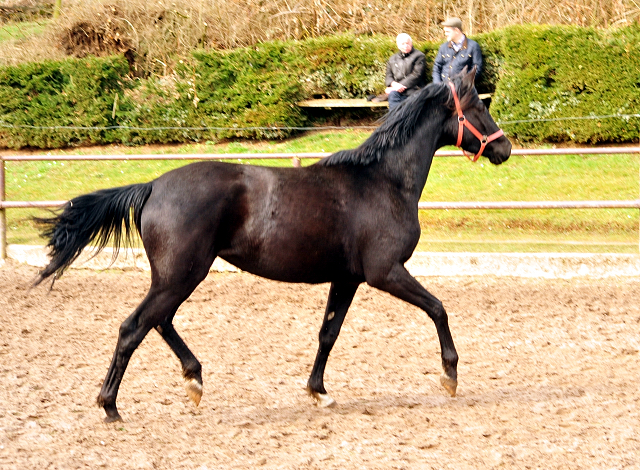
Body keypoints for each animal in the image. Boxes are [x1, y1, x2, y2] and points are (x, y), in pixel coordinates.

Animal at [33, 67, 510, 422]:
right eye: (478, 107)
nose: (504, 148)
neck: (383, 181)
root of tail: (152, 187)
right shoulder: (385, 272)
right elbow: (438, 308)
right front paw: (449, 375)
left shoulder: (347, 278)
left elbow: (328, 333)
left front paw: (319, 392)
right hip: (181, 274)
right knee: (134, 327)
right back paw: (111, 406)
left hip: (176, 276)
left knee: (159, 322)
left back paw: (193, 380)